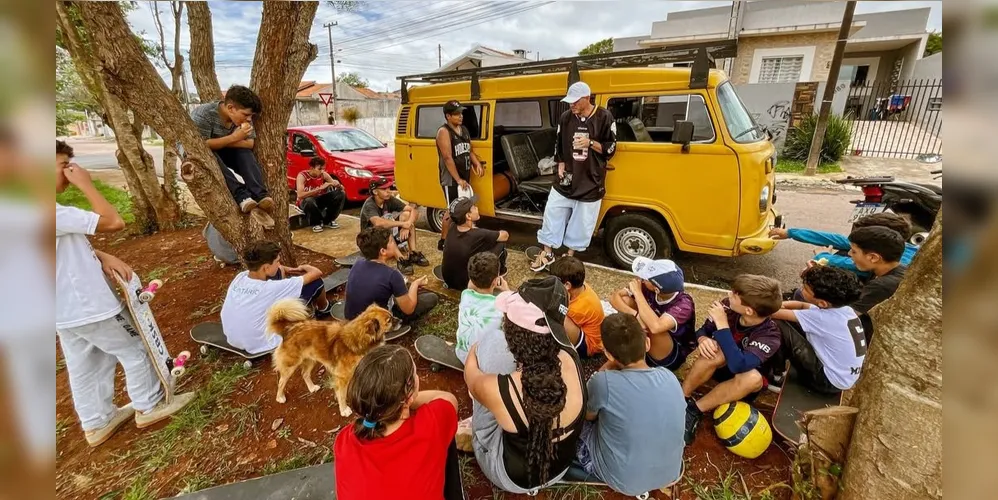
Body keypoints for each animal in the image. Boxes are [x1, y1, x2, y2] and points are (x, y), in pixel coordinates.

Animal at [266, 298, 394, 416]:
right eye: (389, 321)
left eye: (391, 316)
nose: (398, 319)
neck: (357, 340)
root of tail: (289, 328)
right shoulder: (342, 377)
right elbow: (341, 395)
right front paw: (344, 410)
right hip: (290, 366)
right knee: (281, 382)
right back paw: (280, 397)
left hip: (310, 360)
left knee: (304, 374)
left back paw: (312, 388)